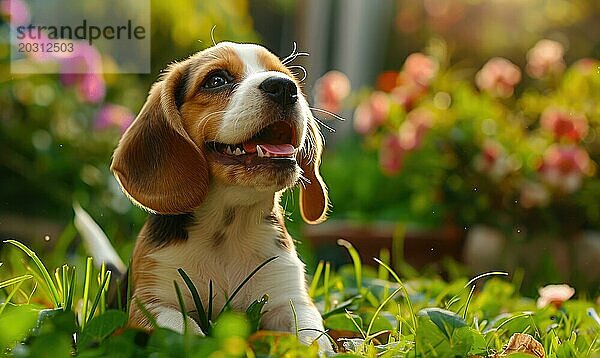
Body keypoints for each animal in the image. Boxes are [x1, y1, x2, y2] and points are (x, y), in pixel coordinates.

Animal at [110, 40, 330, 352]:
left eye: (288, 77)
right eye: (216, 80)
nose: (285, 87)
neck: (228, 228)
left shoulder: (289, 300)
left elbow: (311, 335)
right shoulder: (153, 304)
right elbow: (184, 329)